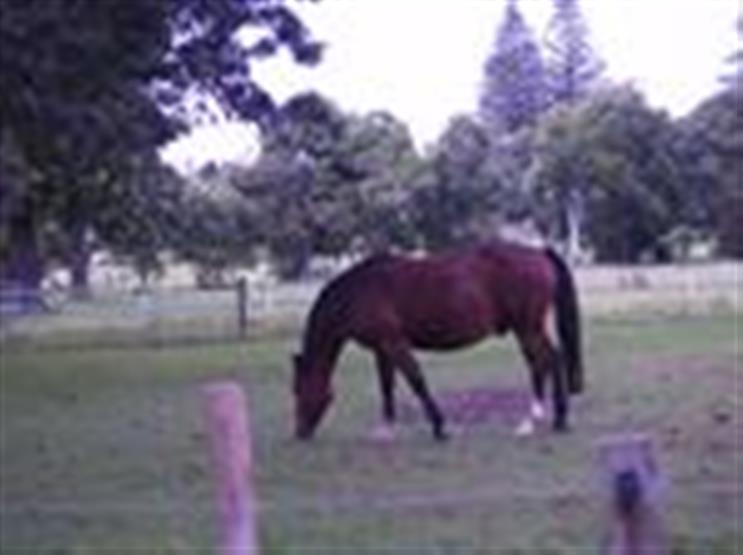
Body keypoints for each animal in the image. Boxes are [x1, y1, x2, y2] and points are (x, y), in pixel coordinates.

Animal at [292, 240, 583, 441]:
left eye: (299, 389)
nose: (300, 432)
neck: (361, 290)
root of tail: (538, 252)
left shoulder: (394, 343)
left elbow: (416, 381)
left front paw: (440, 427)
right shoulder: (382, 349)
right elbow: (387, 386)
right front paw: (386, 430)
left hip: (527, 329)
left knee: (546, 362)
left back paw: (540, 421)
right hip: (527, 330)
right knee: (547, 361)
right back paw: (548, 420)